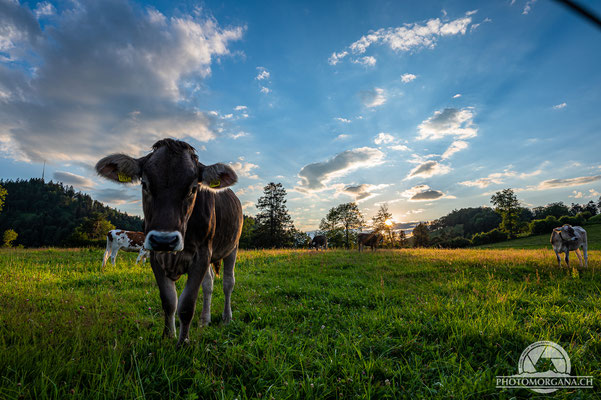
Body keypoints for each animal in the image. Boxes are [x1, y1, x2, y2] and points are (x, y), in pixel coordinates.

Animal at [96, 139, 241, 346]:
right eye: (144, 184)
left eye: (193, 188)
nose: (164, 240)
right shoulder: (155, 256)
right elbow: (169, 301)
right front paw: (168, 336)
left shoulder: (201, 255)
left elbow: (187, 304)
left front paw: (183, 343)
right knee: (209, 284)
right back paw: (204, 320)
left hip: (232, 247)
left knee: (228, 282)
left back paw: (227, 318)